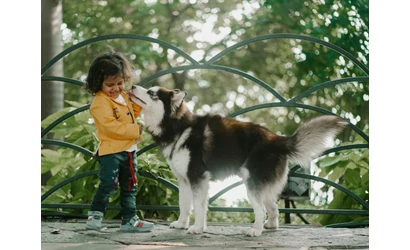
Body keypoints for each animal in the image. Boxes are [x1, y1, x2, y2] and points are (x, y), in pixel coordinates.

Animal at [128, 86, 346, 236]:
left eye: (151, 93)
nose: (132, 86)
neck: (179, 127)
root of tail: (277, 139)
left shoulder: (198, 177)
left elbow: (198, 206)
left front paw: (197, 228)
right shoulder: (184, 180)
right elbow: (184, 205)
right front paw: (182, 224)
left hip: (251, 184)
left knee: (261, 210)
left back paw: (256, 230)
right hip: (263, 185)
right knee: (273, 208)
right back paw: (270, 226)